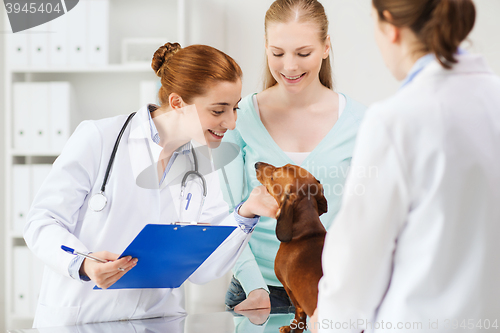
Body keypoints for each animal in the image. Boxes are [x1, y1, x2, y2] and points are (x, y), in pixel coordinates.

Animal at [256, 161, 326, 332]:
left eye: (273, 176)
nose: (256, 164)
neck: (307, 232)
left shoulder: (289, 288)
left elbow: (299, 312)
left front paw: (292, 327)